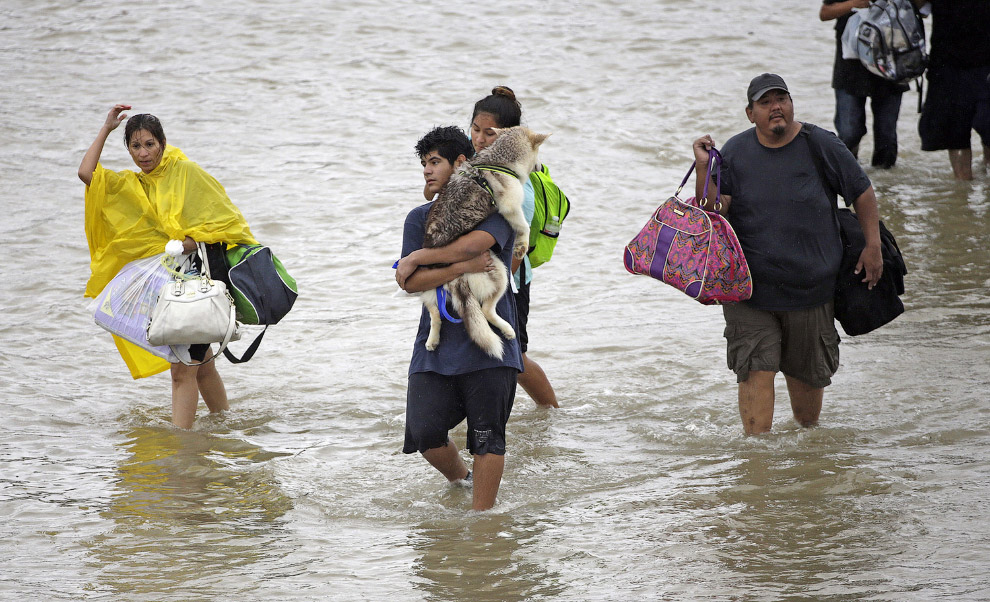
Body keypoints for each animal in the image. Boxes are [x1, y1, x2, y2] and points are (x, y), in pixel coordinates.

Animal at [422, 123, 556, 354]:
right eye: (539, 151)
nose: (541, 167)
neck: (500, 160)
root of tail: (453, 276)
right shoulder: (511, 207)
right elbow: (524, 226)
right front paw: (521, 245)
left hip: (427, 289)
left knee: (436, 315)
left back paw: (432, 340)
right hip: (500, 273)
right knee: (486, 310)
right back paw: (507, 330)